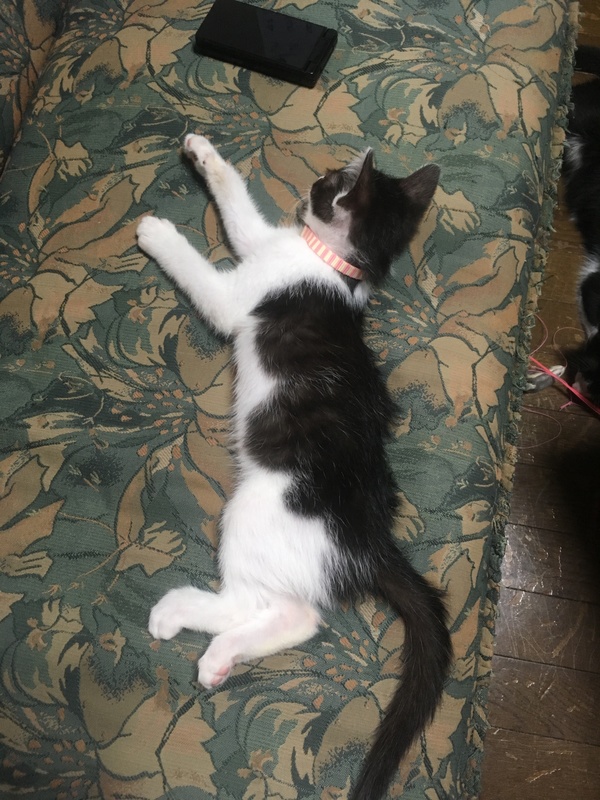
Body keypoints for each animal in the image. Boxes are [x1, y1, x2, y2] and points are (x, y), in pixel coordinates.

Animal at [136, 134, 451, 800]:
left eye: (329, 181)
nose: (310, 185)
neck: (331, 267)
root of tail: (368, 538)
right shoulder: (262, 243)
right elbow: (241, 212)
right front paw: (204, 154)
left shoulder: (239, 297)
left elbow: (207, 280)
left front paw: (159, 233)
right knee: (296, 617)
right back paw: (220, 658)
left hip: (253, 508)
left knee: (275, 607)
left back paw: (180, 616)